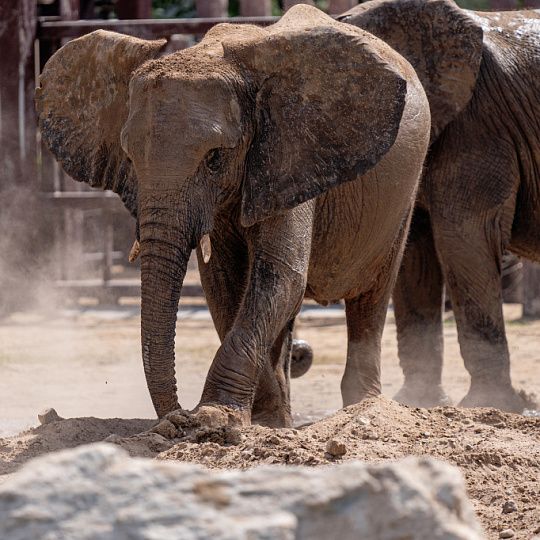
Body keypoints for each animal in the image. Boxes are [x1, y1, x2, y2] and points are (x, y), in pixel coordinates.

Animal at [37, 3, 430, 426]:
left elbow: (279, 275)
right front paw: (263, 422)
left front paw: (215, 418)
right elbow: (224, 285)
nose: (175, 418)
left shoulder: (287, 155)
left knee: (371, 297)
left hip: (403, 193)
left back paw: (363, 406)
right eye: (129, 156)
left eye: (215, 158)